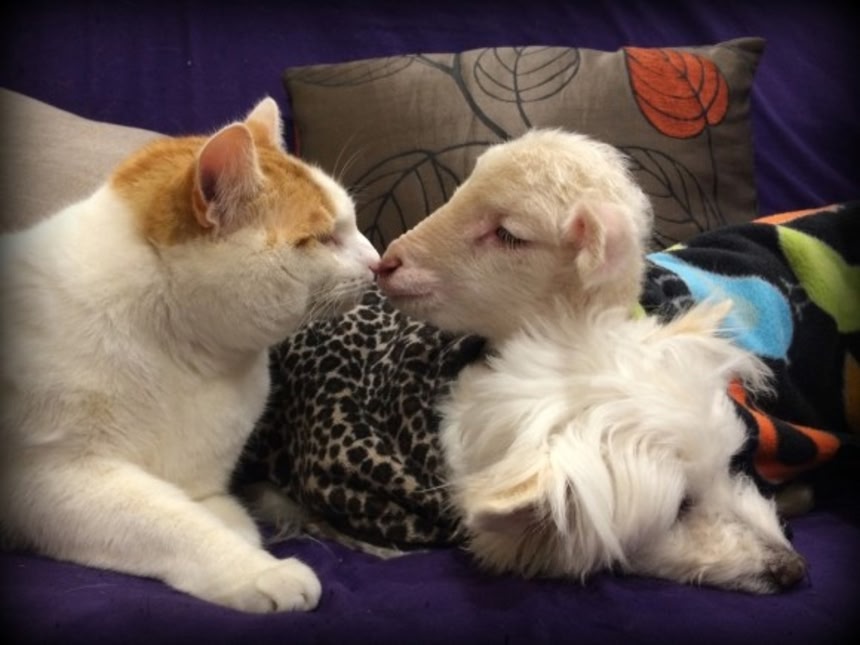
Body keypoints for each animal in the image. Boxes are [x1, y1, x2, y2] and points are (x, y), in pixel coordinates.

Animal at [0, 97, 380, 612]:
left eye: (353, 223)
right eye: (321, 238)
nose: (378, 260)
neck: (187, 355)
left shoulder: (204, 482)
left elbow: (223, 516)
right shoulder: (50, 479)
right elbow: (172, 522)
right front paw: (260, 571)